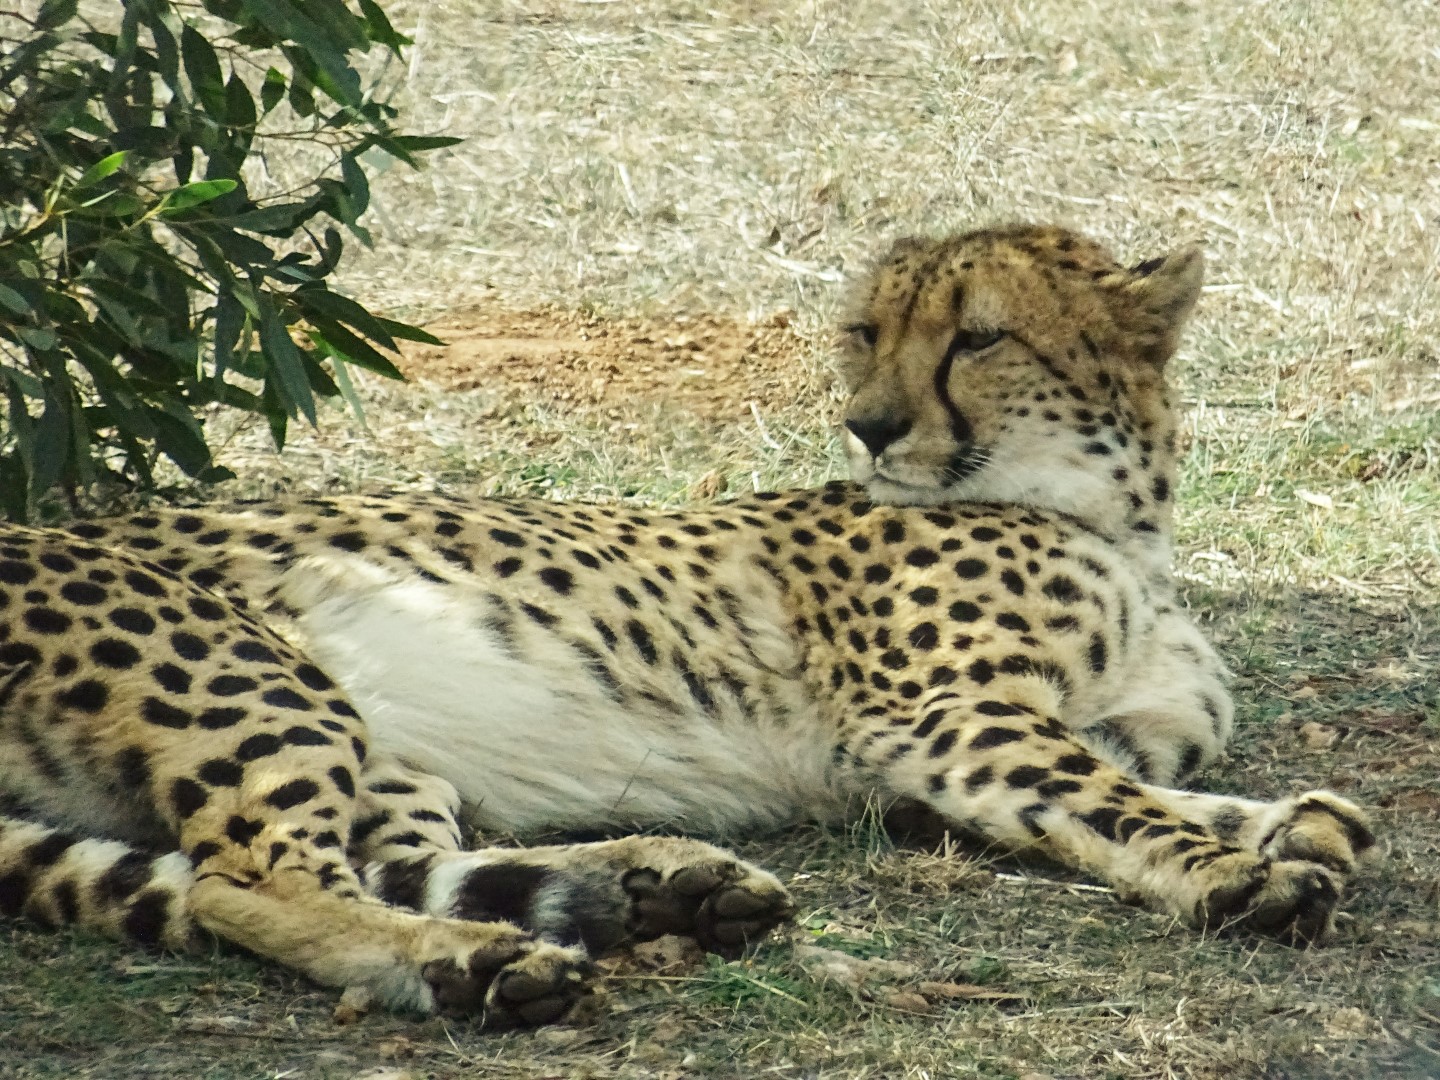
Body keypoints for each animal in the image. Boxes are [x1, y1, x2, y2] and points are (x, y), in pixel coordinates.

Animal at [0, 226, 1370, 1025]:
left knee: (372, 859)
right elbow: (1115, 804)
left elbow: (1163, 786)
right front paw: (1239, 874)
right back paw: (471, 962)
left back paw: (646, 890)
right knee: (252, 882)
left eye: (979, 336)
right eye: (866, 332)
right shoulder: (947, 718)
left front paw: (1291, 825)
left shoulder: (1005, 751)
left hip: (380, 751)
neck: (1112, 515)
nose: (871, 425)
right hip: (253, 673)